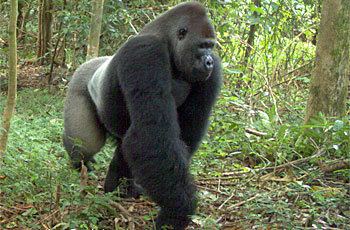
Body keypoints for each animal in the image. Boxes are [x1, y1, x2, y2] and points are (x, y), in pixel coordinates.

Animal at [63, 2, 221, 230]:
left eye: (211, 47)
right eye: (202, 46)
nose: (209, 61)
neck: (168, 42)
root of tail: (90, 61)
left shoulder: (212, 74)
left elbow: (179, 136)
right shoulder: (145, 53)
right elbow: (151, 136)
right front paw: (177, 211)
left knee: (123, 145)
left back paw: (118, 187)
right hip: (78, 82)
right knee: (86, 143)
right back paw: (80, 164)